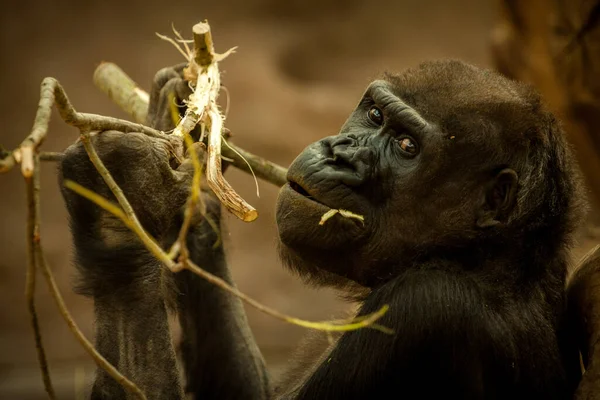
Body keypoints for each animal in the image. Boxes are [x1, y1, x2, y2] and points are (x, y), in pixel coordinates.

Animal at [57, 60, 600, 400]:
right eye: (374, 113)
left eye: (406, 146)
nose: (340, 151)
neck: (485, 257)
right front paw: (178, 126)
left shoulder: (424, 307)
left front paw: (122, 204)